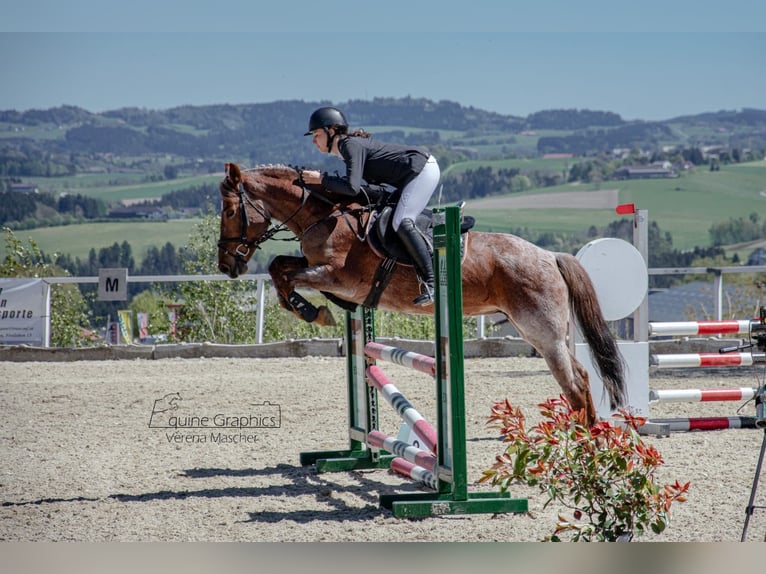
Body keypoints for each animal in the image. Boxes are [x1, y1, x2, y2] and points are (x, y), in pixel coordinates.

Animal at [217, 162, 626, 425]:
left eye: (230, 210)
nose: (226, 265)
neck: (327, 217)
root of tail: (550, 255)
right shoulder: (317, 268)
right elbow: (279, 267)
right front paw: (312, 310)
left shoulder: (339, 278)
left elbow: (286, 276)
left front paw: (314, 311)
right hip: (538, 331)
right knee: (581, 377)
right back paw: (587, 438)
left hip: (543, 330)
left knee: (574, 384)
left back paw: (581, 446)